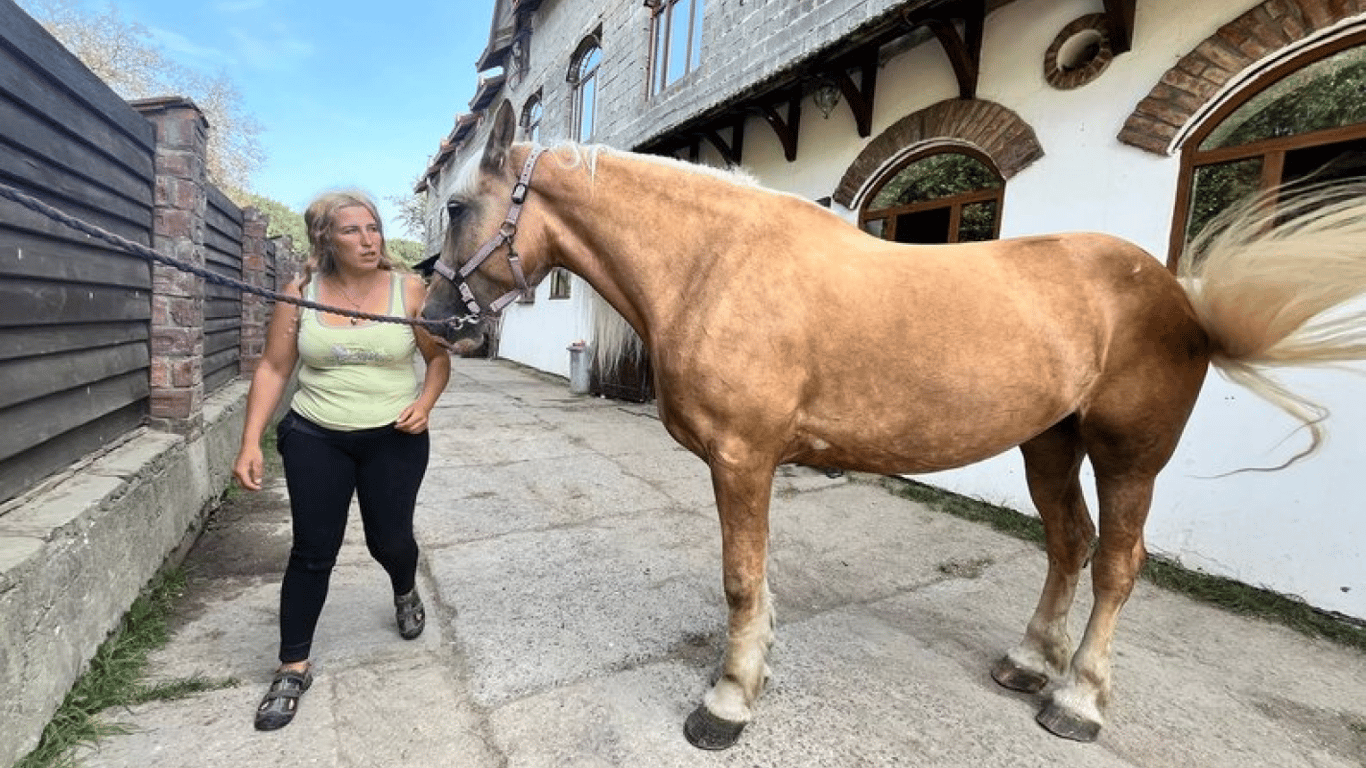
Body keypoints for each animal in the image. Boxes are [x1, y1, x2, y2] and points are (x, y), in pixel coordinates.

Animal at [420, 103, 1366, 748]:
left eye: (461, 208)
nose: (435, 324)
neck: (716, 264)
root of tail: (1179, 295)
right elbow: (759, 579)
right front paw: (758, 668)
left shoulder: (741, 458)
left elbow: (739, 579)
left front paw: (727, 701)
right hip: (1049, 440)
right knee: (1069, 543)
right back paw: (1030, 663)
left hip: (1129, 451)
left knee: (1118, 565)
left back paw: (1077, 700)